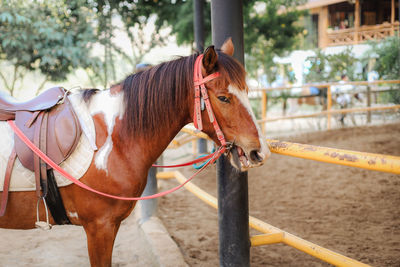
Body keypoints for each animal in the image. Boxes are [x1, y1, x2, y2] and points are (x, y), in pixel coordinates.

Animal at [0, 38, 270, 266]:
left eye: (247, 92)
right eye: (223, 98)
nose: (260, 152)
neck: (113, 139)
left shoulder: (110, 226)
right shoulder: (99, 228)